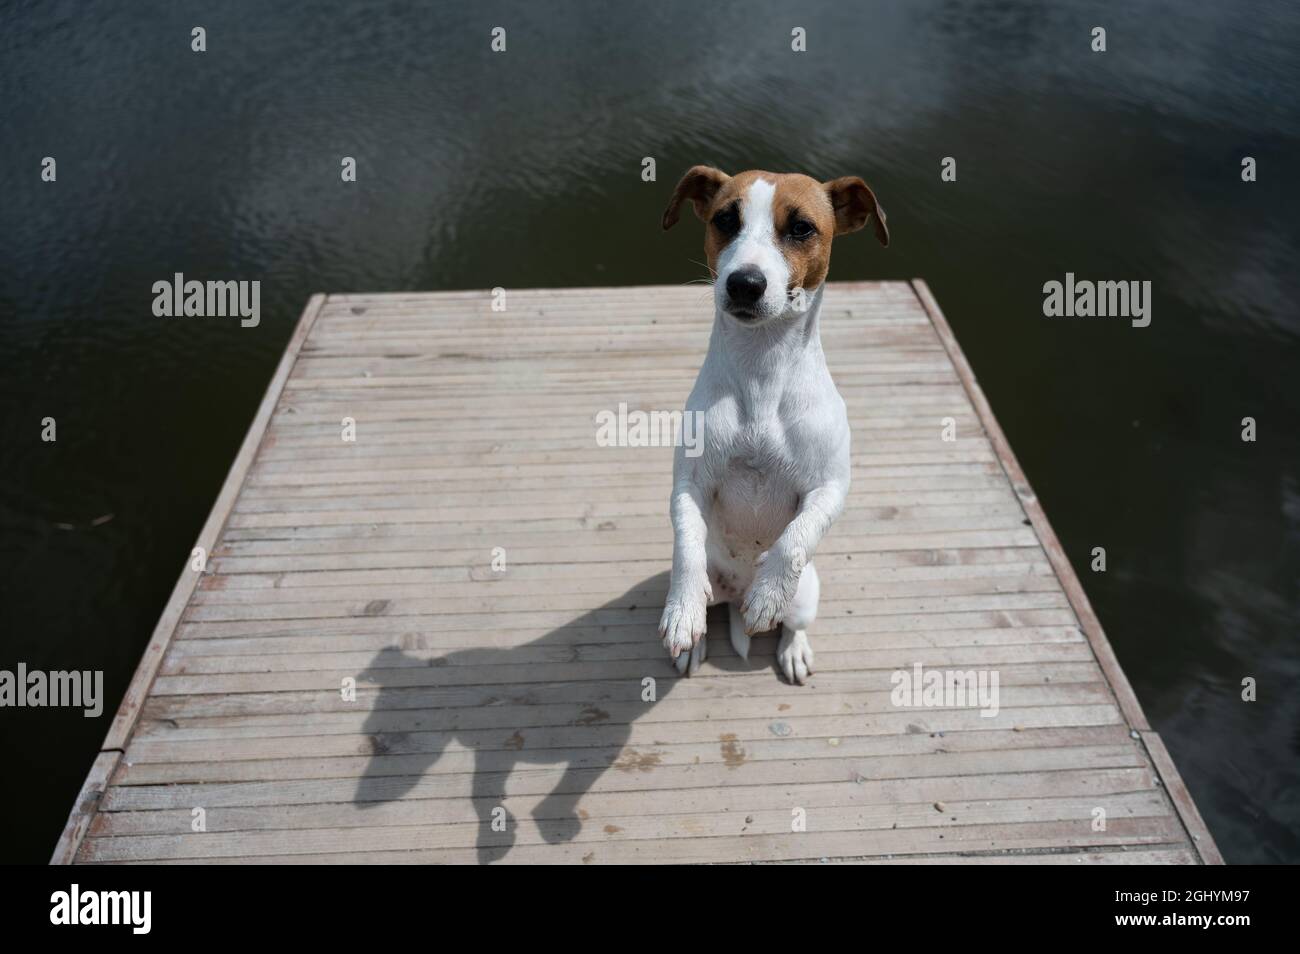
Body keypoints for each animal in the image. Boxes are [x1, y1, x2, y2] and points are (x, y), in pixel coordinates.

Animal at [655, 166, 889, 686]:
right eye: (725, 219)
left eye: (801, 228)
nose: (745, 283)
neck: (761, 371)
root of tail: (734, 593)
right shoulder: (687, 484)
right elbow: (686, 545)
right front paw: (682, 611)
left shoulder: (830, 488)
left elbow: (795, 540)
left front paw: (767, 595)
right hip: (716, 585)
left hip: (807, 598)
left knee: (792, 623)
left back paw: (786, 639)